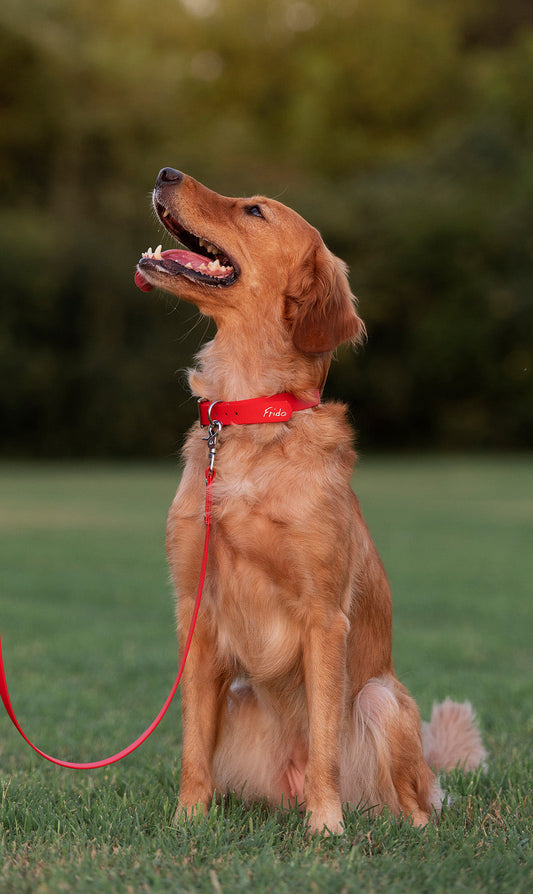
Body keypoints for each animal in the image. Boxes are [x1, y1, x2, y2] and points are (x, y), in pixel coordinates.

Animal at [135, 170, 484, 840]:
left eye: (254, 211)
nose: (165, 173)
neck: (249, 417)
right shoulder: (196, 611)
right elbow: (192, 745)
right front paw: (189, 818)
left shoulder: (324, 617)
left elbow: (324, 739)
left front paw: (325, 824)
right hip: (240, 694)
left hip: (381, 699)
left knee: (415, 801)